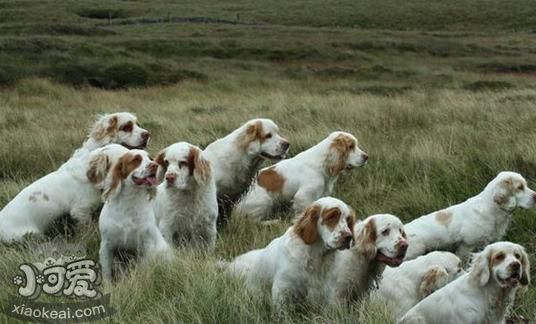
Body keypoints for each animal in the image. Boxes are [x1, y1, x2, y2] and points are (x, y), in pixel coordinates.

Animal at [98, 149, 170, 280]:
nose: (154, 165)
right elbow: (107, 274)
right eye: (136, 159)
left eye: (151, 158)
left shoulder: (147, 246)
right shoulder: (106, 245)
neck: (129, 202)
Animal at [222, 196, 356, 316]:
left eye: (348, 220)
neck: (316, 256)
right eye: (331, 216)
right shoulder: (282, 288)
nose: (348, 237)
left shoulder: (325, 290)